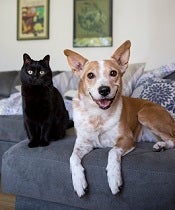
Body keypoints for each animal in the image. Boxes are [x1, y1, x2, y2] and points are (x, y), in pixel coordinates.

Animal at [64, 40, 175, 198]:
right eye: (90, 75)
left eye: (113, 73)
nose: (104, 90)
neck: (98, 114)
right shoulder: (83, 144)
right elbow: (72, 158)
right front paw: (79, 182)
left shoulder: (127, 139)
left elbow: (112, 152)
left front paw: (114, 179)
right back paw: (161, 145)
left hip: (144, 114)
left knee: (173, 139)